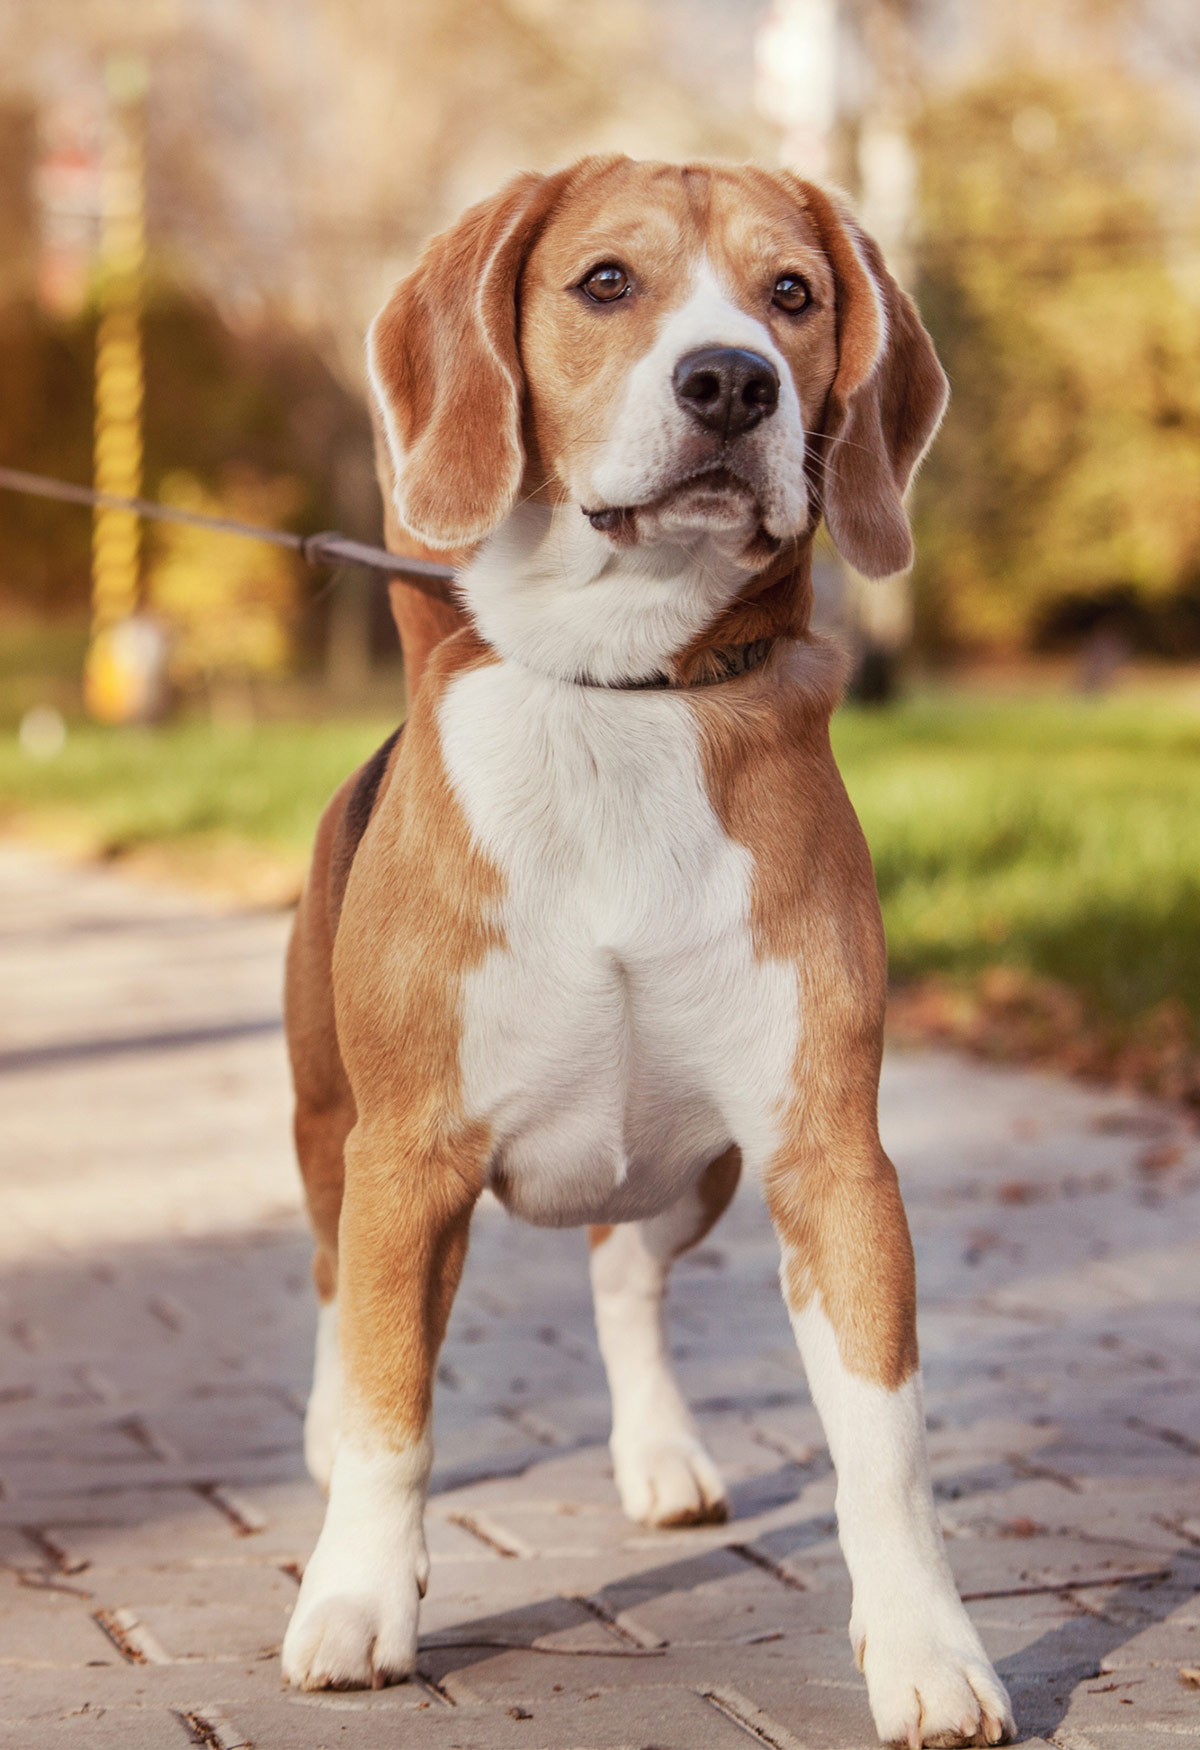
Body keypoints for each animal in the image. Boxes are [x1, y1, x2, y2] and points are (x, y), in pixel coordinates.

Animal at [279, 157, 1014, 1743]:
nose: (732, 379)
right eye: (607, 282)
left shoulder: (829, 1158)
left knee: (626, 1273)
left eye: (793, 293)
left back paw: (662, 1455)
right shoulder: (408, 1156)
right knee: (334, 1288)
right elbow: (391, 1411)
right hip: (328, 1125)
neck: (623, 688)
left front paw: (929, 1651)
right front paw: (357, 1599)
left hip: (702, 1171)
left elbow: (886, 1446)